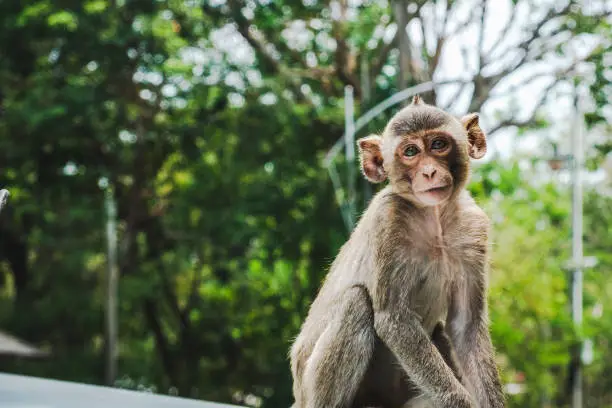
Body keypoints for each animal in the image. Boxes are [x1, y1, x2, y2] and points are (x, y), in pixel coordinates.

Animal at [290, 96, 504, 408]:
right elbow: (394, 318)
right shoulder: (387, 220)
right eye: (411, 151)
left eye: (438, 144)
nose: (429, 172)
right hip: (309, 387)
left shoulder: (473, 228)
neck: (435, 219)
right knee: (356, 302)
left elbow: (466, 326)